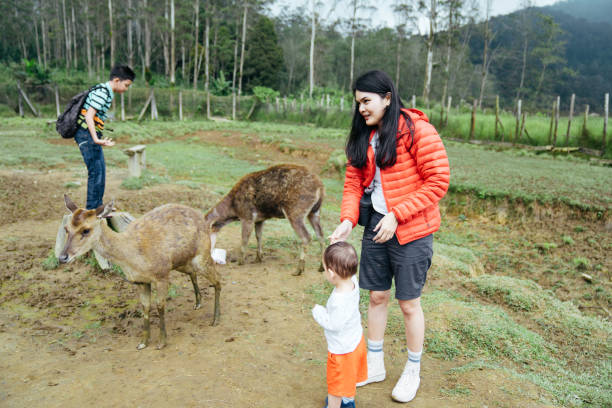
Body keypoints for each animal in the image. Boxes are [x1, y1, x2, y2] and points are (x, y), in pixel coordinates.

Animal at [57, 195, 220, 350]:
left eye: (86, 230)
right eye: (66, 228)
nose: (62, 257)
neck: (133, 258)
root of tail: (204, 218)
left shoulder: (161, 274)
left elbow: (160, 306)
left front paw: (161, 343)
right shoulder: (140, 281)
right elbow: (145, 307)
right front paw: (143, 343)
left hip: (202, 255)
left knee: (218, 280)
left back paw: (215, 319)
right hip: (181, 262)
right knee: (193, 273)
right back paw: (198, 303)